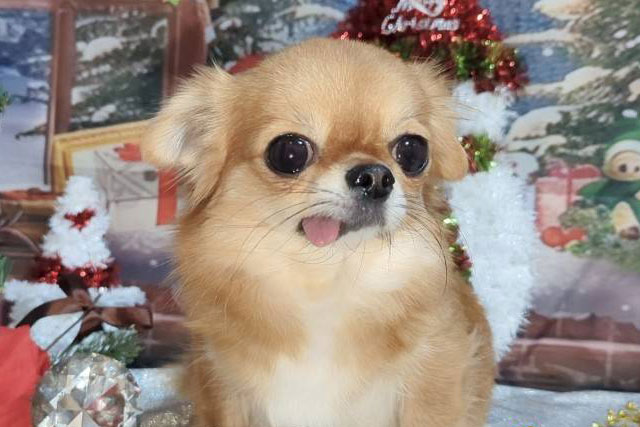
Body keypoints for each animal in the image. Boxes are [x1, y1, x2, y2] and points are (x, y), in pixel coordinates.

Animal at [142, 38, 494, 427]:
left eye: (412, 149)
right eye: (289, 151)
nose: (376, 177)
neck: (325, 279)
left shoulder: (436, 375)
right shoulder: (221, 383)